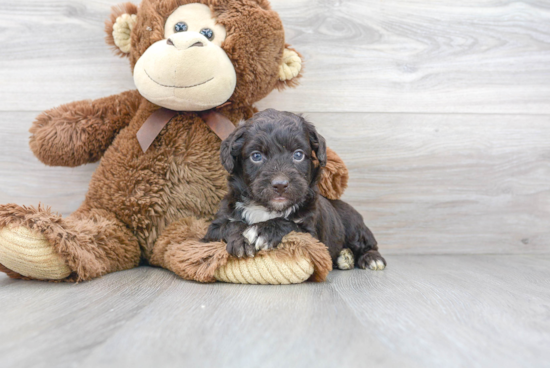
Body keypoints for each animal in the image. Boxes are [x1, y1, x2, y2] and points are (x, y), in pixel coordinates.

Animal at [205, 108, 390, 268]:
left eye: (298, 155)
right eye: (256, 156)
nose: (280, 184)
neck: (267, 208)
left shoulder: (313, 237)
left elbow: (291, 225)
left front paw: (263, 231)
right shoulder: (211, 232)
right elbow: (228, 226)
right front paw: (242, 238)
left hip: (354, 226)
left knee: (368, 244)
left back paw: (371, 258)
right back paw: (345, 257)